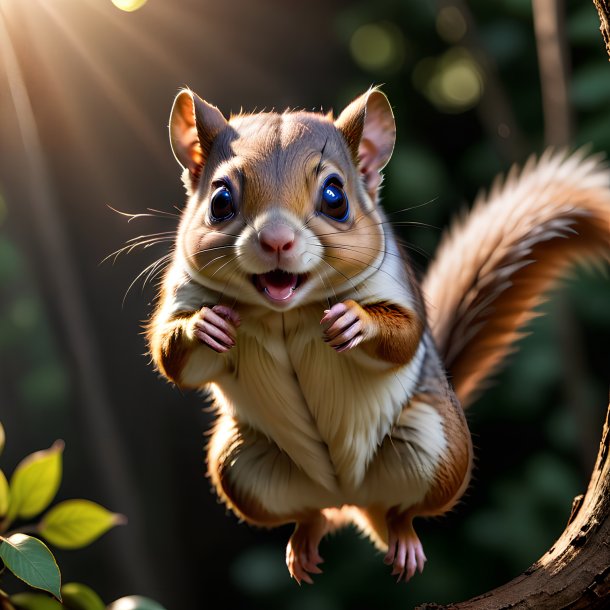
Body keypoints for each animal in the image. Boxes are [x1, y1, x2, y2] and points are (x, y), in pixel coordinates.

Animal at [146, 86, 608, 584]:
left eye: (335, 197)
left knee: (402, 512)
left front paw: (354, 322)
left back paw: (402, 539)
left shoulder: (395, 286)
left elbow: (404, 335)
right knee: (310, 515)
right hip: (238, 465)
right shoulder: (182, 293)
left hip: (437, 447)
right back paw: (304, 542)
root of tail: (349, 498)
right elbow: (170, 357)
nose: (276, 240)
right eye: (220, 202)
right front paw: (205, 325)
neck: (285, 312)